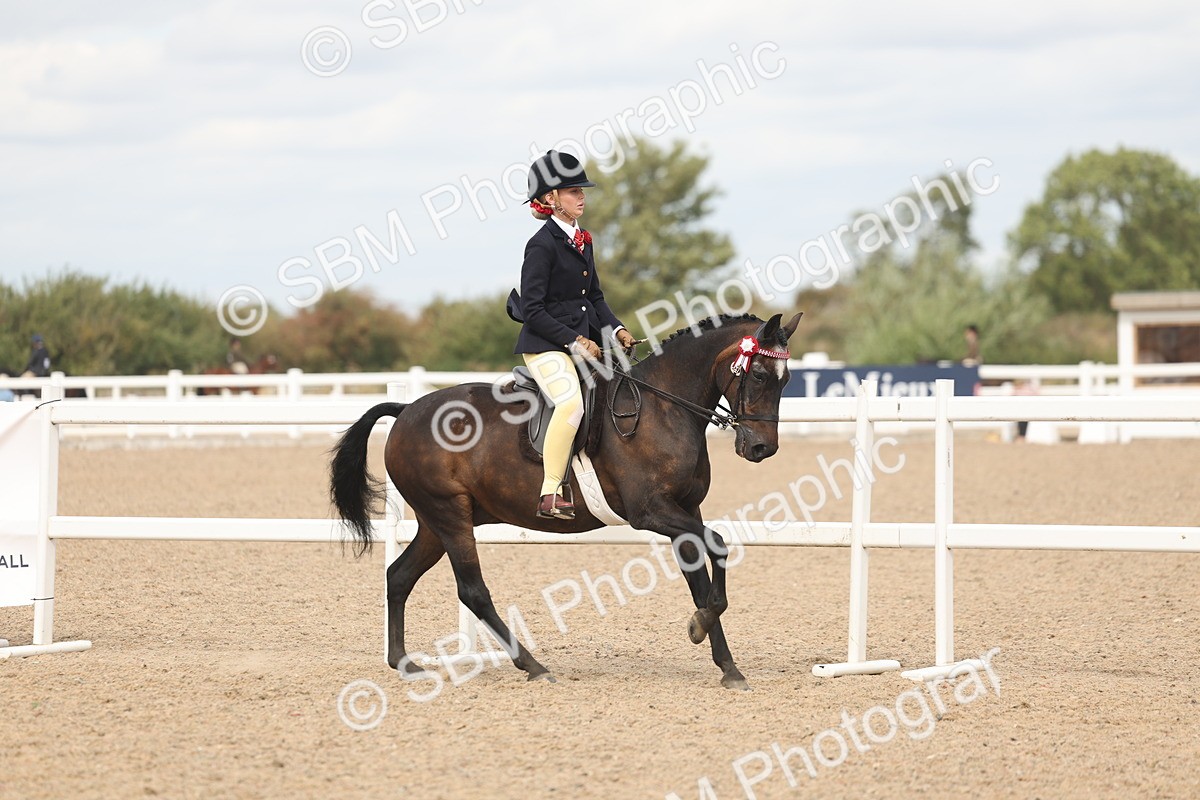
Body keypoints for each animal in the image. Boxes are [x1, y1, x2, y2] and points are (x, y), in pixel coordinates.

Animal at [329, 311, 802, 690]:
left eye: (787, 380)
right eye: (760, 375)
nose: (762, 448)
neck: (664, 408)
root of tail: (407, 409)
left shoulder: (686, 510)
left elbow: (701, 581)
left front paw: (725, 662)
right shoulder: (651, 512)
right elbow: (718, 546)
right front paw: (701, 626)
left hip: (435, 522)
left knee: (399, 577)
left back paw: (404, 663)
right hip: (449, 515)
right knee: (472, 591)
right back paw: (533, 666)